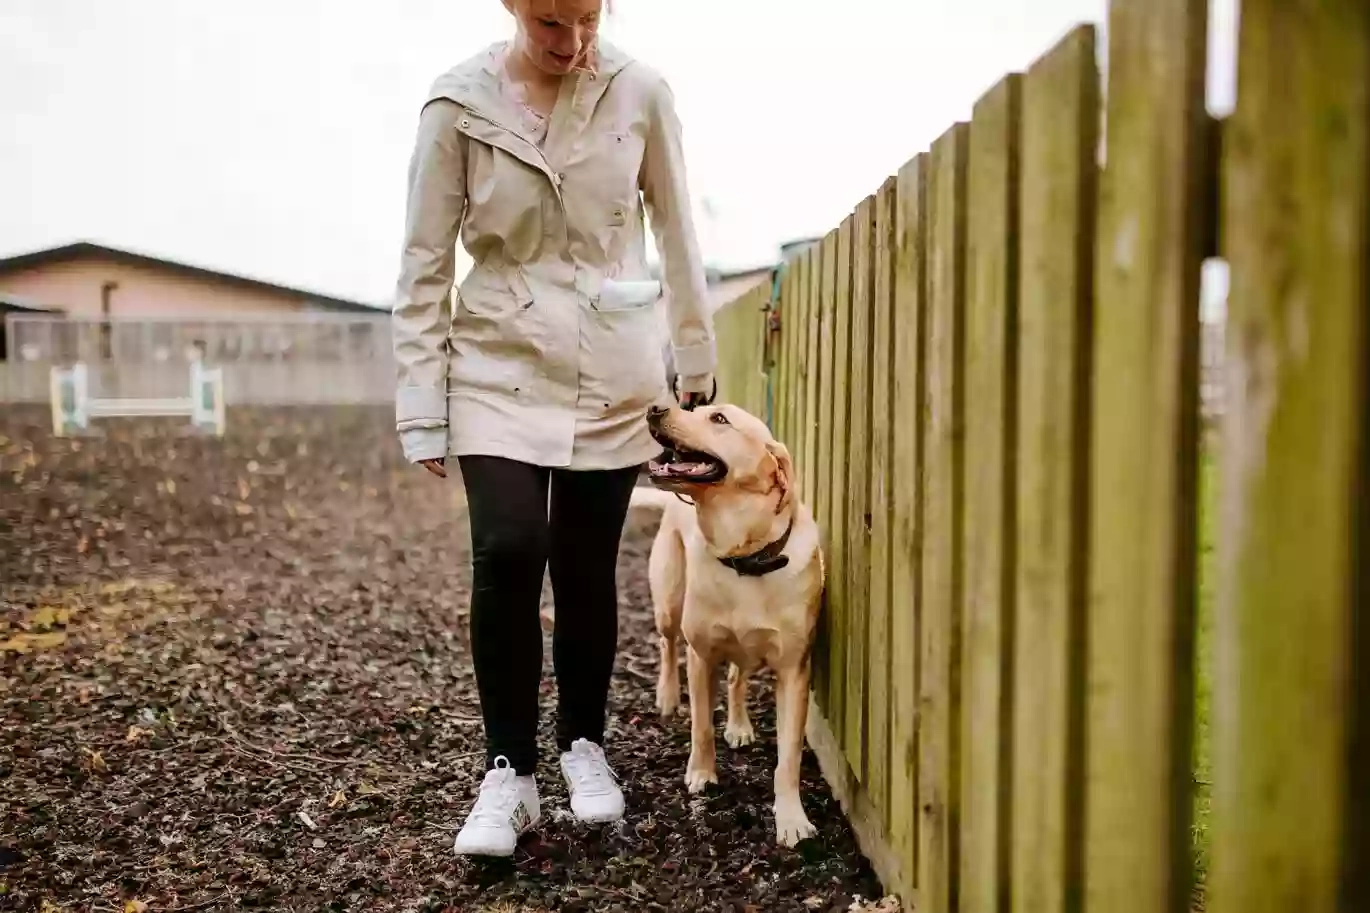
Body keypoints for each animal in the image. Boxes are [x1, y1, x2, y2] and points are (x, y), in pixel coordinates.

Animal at [643, 403, 822, 844]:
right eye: (698, 411)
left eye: (720, 420)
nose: (656, 407)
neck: (745, 557)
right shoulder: (701, 656)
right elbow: (702, 727)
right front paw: (701, 774)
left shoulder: (794, 671)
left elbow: (789, 757)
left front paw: (791, 818)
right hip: (669, 603)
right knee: (667, 644)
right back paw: (667, 697)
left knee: (737, 676)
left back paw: (739, 725)